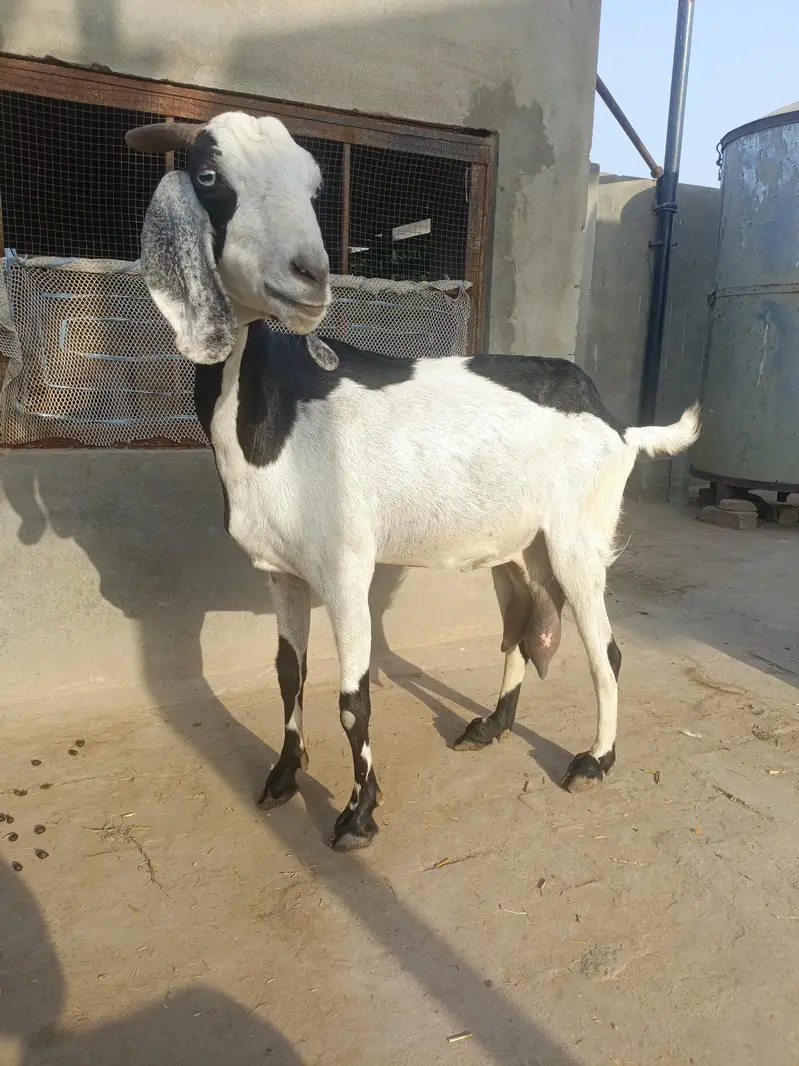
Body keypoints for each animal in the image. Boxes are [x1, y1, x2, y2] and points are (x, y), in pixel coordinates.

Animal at [126, 112, 700, 851]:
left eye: (313, 186)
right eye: (207, 176)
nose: (310, 275)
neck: (277, 404)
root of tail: (617, 424)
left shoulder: (345, 567)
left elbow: (353, 696)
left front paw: (358, 814)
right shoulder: (280, 571)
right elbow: (289, 674)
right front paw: (282, 778)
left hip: (579, 537)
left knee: (607, 646)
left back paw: (594, 761)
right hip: (520, 547)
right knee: (520, 624)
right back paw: (492, 726)